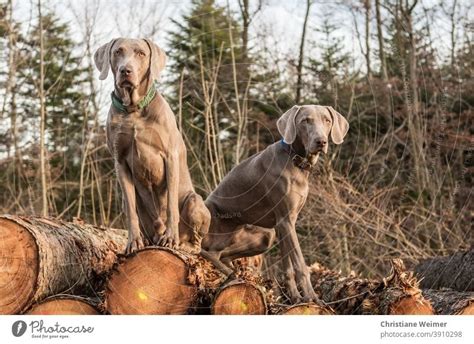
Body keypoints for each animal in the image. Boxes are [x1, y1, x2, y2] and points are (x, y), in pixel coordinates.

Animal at [94, 39, 209, 255]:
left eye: (141, 53)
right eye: (117, 52)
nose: (125, 70)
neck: (134, 110)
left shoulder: (170, 157)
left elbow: (171, 203)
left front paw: (170, 238)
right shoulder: (120, 162)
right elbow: (131, 210)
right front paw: (133, 242)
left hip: (194, 201)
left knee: (197, 242)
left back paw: (182, 243)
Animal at [203, 105, 348, 300]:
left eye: (327, 120)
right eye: (305, 121)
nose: (321, 142)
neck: (295, 161)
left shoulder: (283, 225)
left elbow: (288, 266)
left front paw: (295, 298)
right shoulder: (285, 220)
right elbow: (300, 264)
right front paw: (312, 298)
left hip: (265, 236)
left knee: (223, 256)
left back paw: (238, 276)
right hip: (214, 232)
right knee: (207, 252)